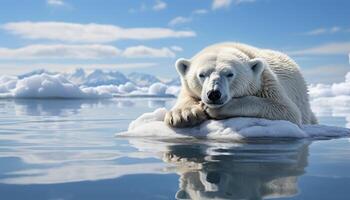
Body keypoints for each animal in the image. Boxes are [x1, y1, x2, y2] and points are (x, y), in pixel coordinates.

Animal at [164, 42, 318, 127]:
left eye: (229, 74)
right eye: (201, 74)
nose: (213, 94)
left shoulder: (266, 82)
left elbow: (286, 110)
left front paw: (214, 109)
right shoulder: (187, 89)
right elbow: (186, 99)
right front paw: (184, 115)